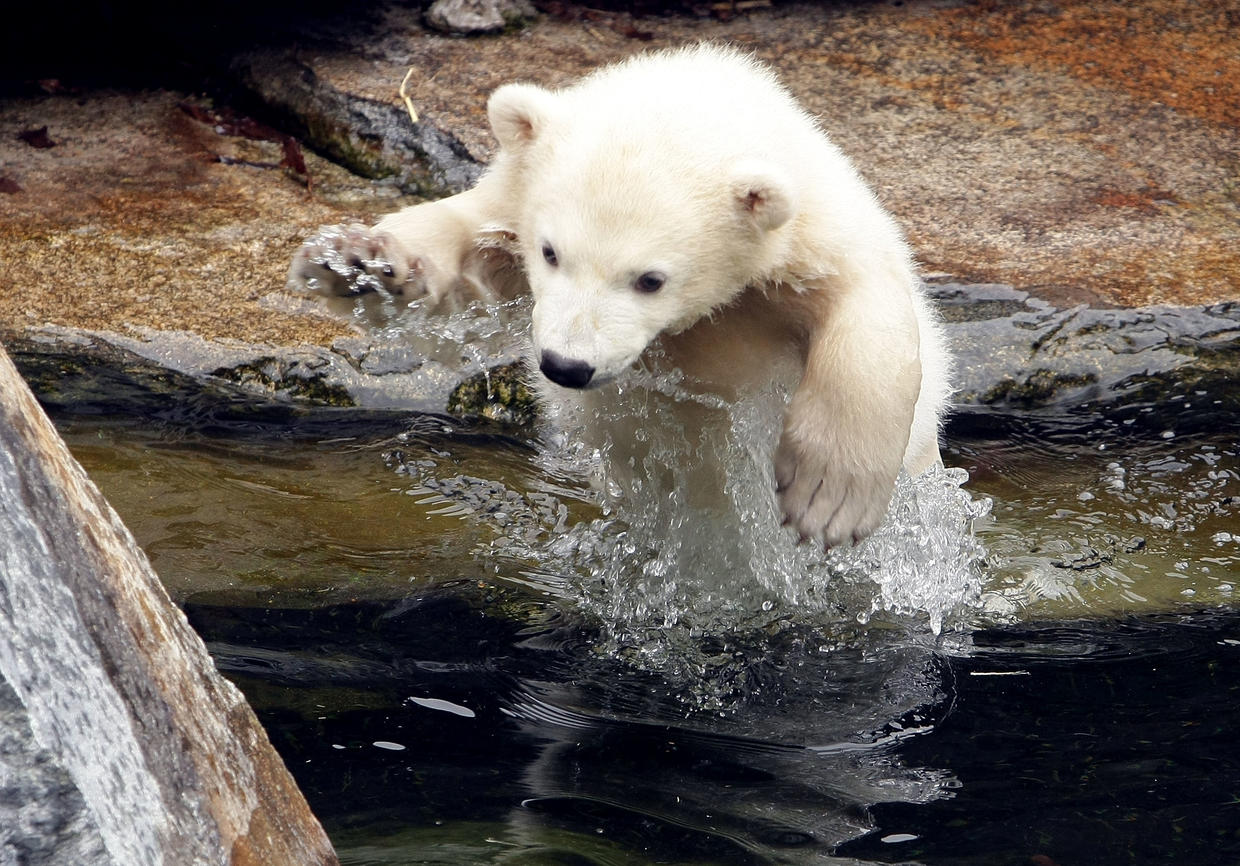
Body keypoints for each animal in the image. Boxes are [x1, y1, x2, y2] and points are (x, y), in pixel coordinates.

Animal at [287, 43, 947, 543]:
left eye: (651, 279)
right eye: (550, 252)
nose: (566, 366)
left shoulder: (811, 240)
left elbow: (869, 309)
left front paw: (828, 498)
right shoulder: (516, 199)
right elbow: (466, 261)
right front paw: (357, 262)